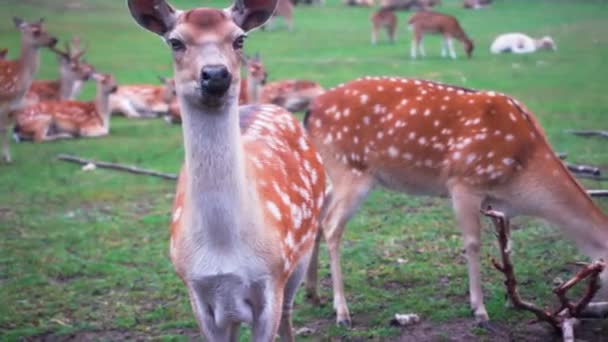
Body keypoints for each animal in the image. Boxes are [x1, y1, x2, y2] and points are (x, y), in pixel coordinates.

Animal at [0, 17, 57, 163]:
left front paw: (6, 157)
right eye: (36, 31)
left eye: (44, 27)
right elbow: (4, 128)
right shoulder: (5, 100)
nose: (54, 39)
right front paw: (7, 159)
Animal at [126, 0, 330, 340]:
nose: (216, 74)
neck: (224, 248)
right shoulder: (197, 291)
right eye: (175, 41)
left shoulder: (271, 278)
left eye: (239, 39)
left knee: (290, 311)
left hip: (301, 248)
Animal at [304, 76, 608, 328]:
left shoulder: (499, 203)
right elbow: (472, 243)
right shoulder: (463, 182)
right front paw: (480, 311)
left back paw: (313, 294)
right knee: (332, 226)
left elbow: (507, 245)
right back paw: (342, 313)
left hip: (334, 173)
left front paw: (511, 299)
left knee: (318, 216)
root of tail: (309, 112)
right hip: (350, 170)